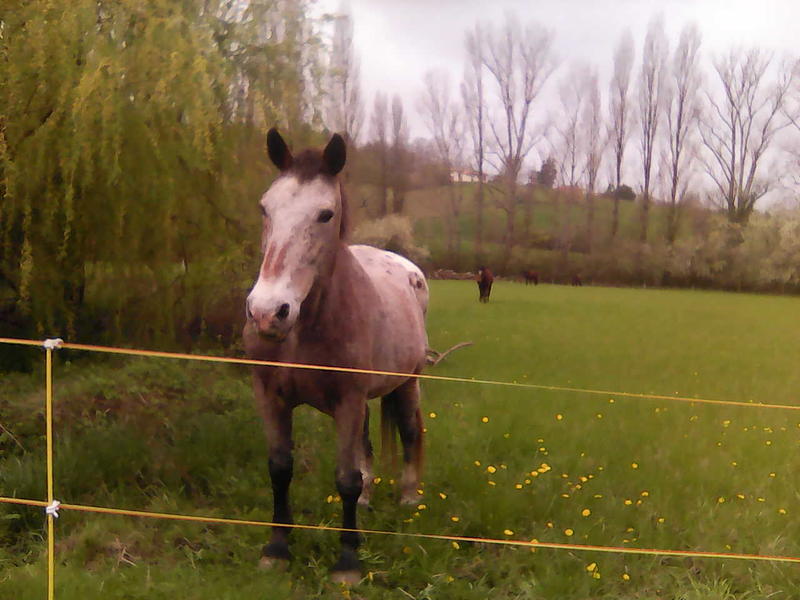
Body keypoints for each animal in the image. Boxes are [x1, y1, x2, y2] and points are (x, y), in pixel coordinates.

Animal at [243, 129, 429, 584]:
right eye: (265, 208)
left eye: (325, 214)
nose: (267, 312)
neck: (301, 333)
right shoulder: (269, 397)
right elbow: (280, 468)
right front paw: (276, 549)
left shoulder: (348, 400)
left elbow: (345, 478)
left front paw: (348, 562)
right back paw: (366, 501)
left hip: (408, 383)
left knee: (411, 432)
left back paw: (409, 499)